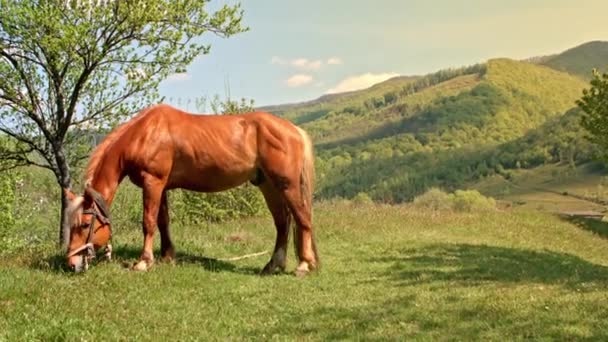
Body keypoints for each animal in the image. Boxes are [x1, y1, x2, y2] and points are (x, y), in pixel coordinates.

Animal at [64, 104, 318, 276]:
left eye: (85, 225)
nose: (72, 264)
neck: (144, 133)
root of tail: (294, 130)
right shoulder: (161, 186)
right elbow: (163, 221)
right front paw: (167, 257)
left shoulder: (153, 182)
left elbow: (148, 222)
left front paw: (144, 261)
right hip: (268, 185)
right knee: (283, 223)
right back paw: (273, 265)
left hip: (287, 184)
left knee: (303, 218)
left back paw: (304, 265)